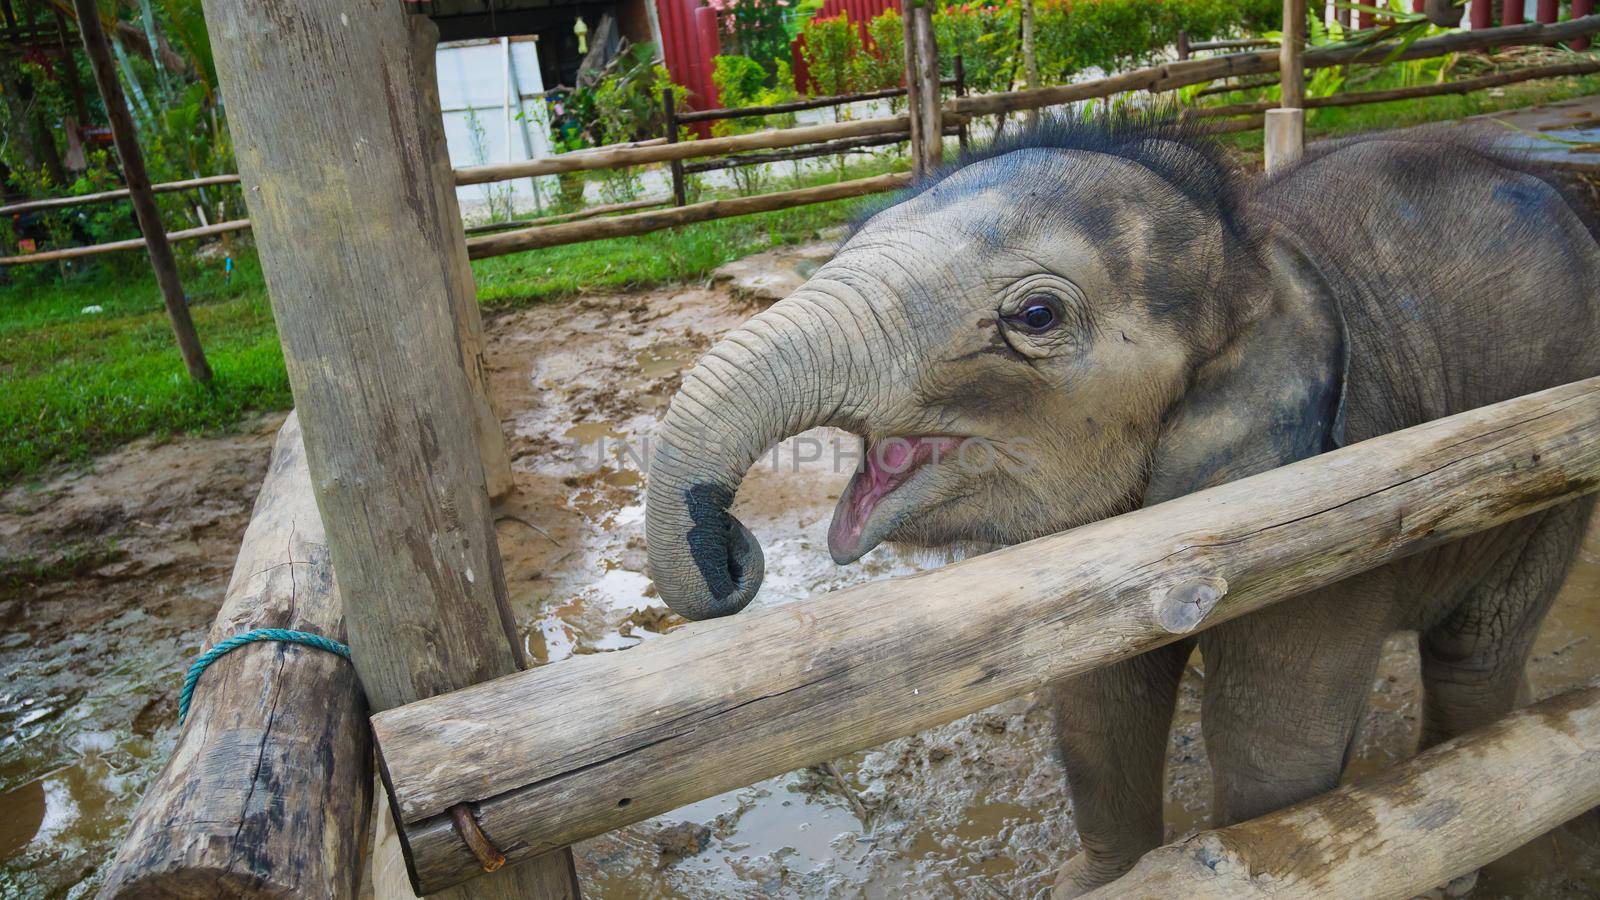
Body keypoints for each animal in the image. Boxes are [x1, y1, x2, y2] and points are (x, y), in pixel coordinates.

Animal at [636, 117, 1600, 890]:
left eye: (1034, 315)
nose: (734, 548)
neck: (1257, 260)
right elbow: (1098, 709)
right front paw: (1098, 879)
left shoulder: (1342, 504)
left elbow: (1273, 744)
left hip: (1551, 477)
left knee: (1475, 659)